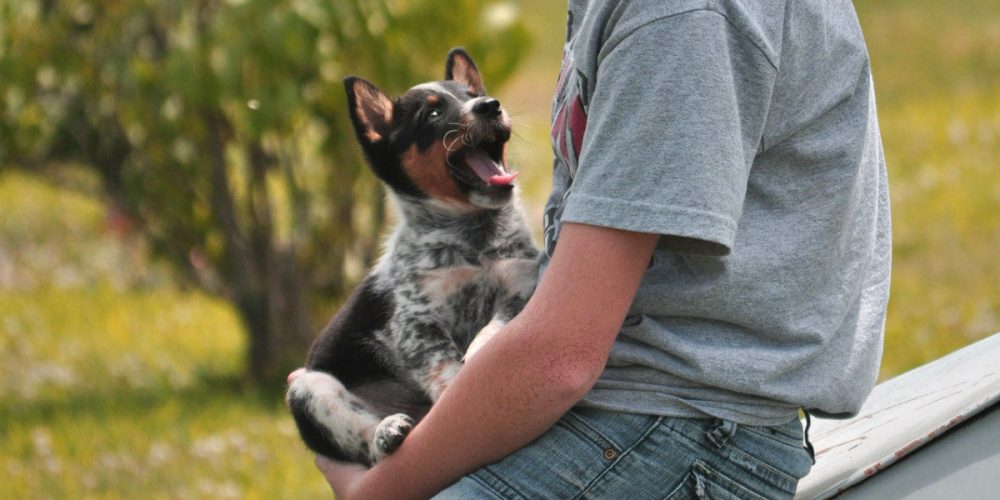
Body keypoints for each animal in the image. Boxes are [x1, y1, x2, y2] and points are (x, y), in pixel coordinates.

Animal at [286, 48, 540, 466]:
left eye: (474, 94)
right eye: (433, 113)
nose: (490, 105)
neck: (474, 242)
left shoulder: (521, 286)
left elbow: (494, 329)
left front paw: (481, 350)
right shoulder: (415, 324)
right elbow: (447, 366)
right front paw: (459, 382)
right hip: (309, 389)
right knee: (366, 445)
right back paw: (387, 432)